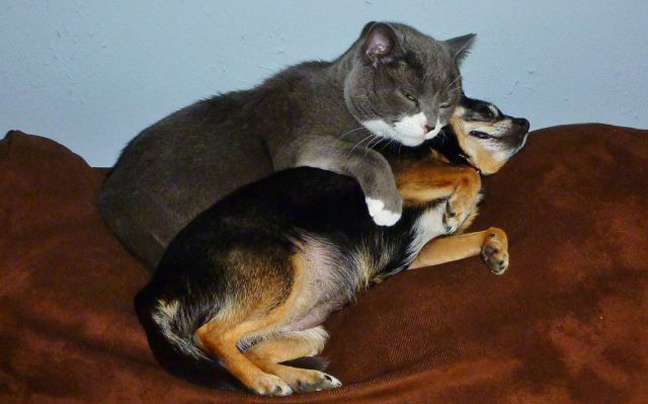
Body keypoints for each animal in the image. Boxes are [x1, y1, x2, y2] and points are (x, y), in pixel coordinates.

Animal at [98, 22, 476, 269]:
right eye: (410, 96)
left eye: (446, 103)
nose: (430, 125)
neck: (340, 96)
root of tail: (108, 199)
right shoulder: (303, 144)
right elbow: (367, 155)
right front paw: (386, 207)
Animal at [134, 95, 530, 396]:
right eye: (488, 112)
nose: (526, 122)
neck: (442, 147)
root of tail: (154, 289)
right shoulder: (400, 185)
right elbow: (465, 175)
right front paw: (461, 204)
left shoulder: (423, 249)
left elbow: (491, 228)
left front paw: (494, 251)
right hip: (283, 271)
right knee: (211, 336)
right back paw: (262, 382)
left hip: (307, 330)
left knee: (253, 349)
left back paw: (302, 379)